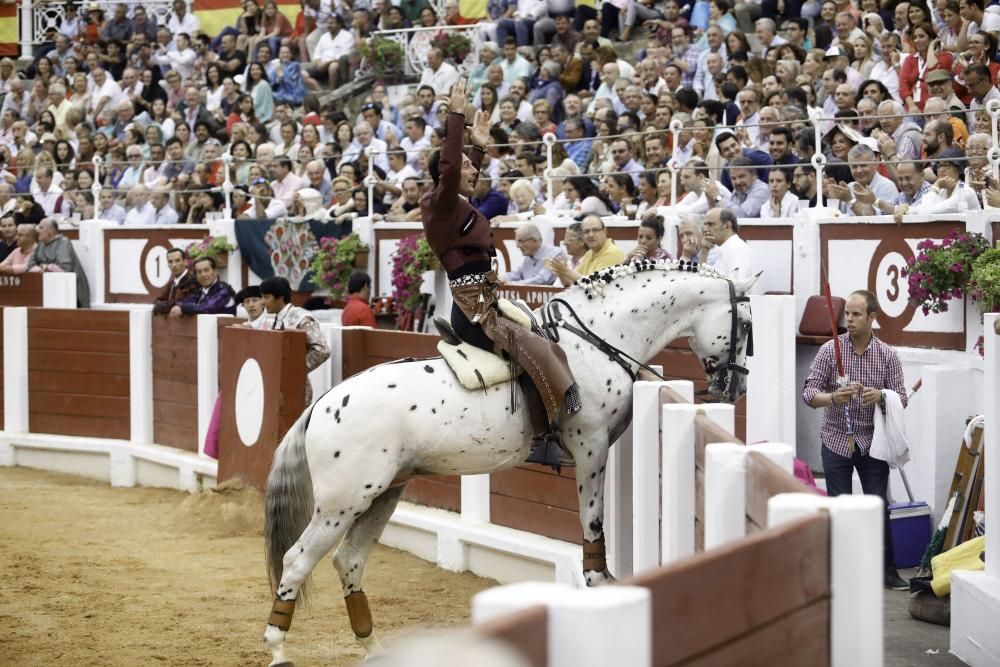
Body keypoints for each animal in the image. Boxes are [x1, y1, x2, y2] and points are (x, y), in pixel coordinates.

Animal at [262, 260, 752, 664]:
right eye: (746, 325)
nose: (734, 389)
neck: (597, 340)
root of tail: (323, 403)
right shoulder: (591, 446)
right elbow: (592, 519)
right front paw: (600, 582)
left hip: (384, 493)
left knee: (350, 561)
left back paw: (374, 647)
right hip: (342, 502)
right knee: (297, 560)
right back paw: (278, 650)